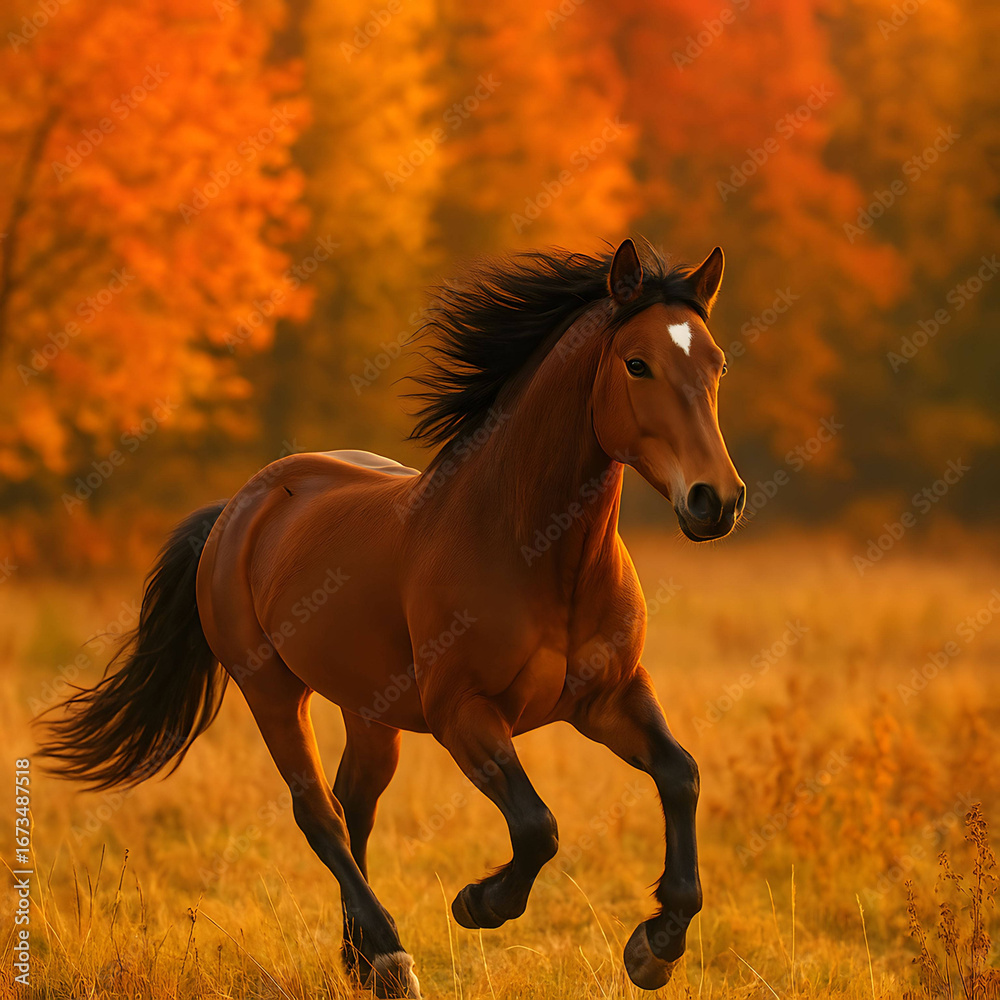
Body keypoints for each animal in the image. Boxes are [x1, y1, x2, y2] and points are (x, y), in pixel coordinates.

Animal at [40, 238, 746, 998]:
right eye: (636, 363)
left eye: (716, 363)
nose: (715, 501)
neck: (537, 548)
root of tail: (237, 508)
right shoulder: (463, 713)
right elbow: (538, 827)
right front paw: (478, 903)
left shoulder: (609, 698)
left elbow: (680, 774)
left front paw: (656, 945)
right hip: (271, 692)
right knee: (319, 813)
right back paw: (389, 958)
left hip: (371, 712)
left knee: (355, 805)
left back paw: (361, 960)